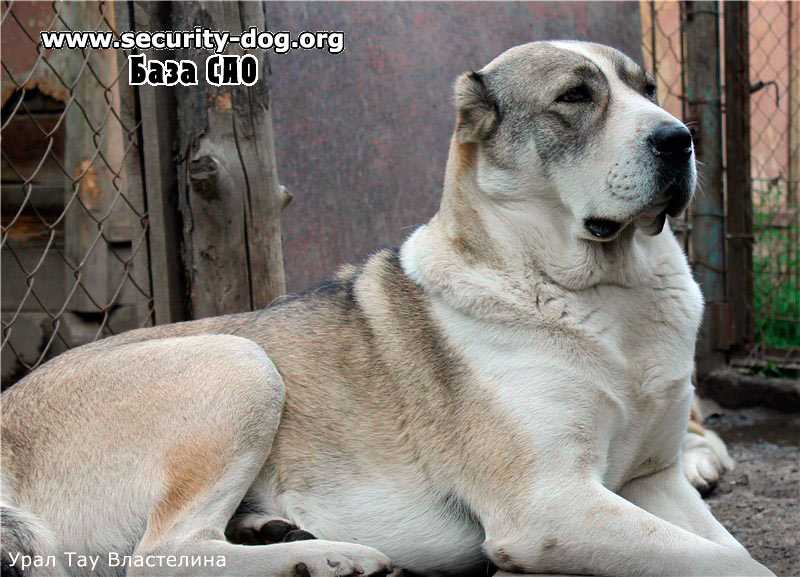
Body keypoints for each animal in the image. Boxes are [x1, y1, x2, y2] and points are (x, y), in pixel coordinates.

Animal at [3, 41, 772, 576]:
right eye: (576, 96)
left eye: (648, 89)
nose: (680, 138)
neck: (604, 292)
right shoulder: (550, 505)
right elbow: (734, 562)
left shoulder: (654, 481)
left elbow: (727, 544)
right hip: (238, 360)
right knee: (161, 553)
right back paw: (327, 557)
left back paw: (280, 531)